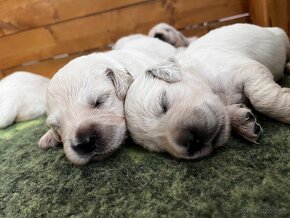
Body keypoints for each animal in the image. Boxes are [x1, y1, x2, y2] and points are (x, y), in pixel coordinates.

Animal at [125, 23, 290, 159]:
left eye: (163, 104)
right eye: (160, 148)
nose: (192, 142)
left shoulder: (245, 69)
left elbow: (262, 100)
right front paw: (243, 122)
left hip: (281, 35)